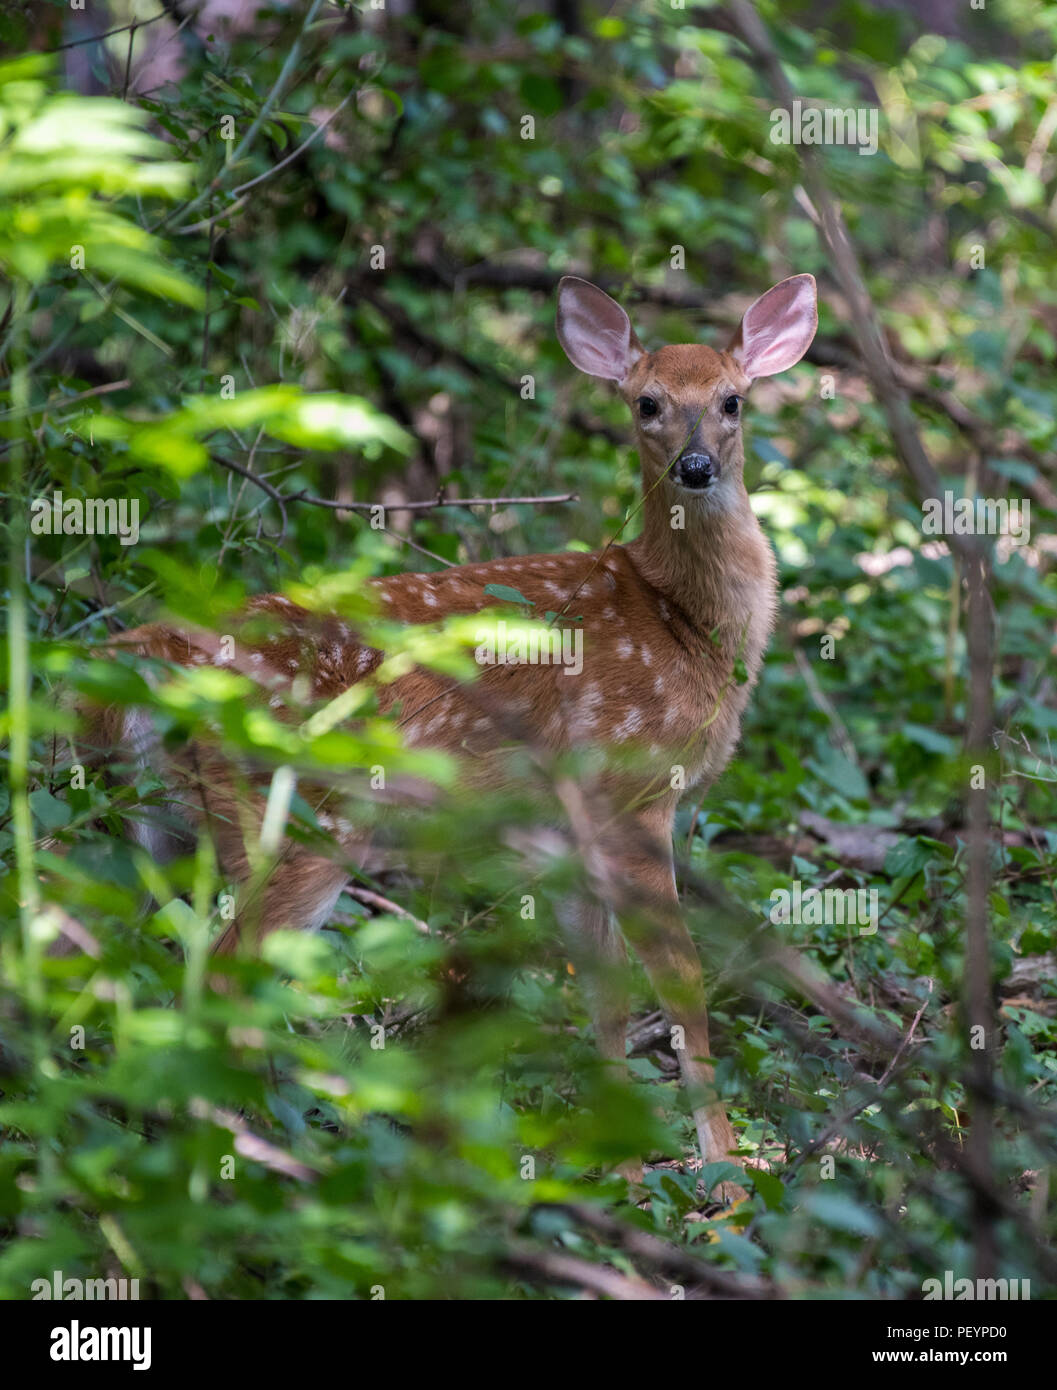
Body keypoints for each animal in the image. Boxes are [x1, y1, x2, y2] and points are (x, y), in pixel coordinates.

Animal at [77, 272, 818, 1196]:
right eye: (647, 402)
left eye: (732, 401)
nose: (695, 467)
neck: (685, 623)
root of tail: (146, 657)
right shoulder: (628, 788)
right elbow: (679, 981)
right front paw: (720, 1176)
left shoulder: (563, 829)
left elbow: (602, 987)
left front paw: (619, 1162)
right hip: (299, 819)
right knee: (222, 972)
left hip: (157, 822)